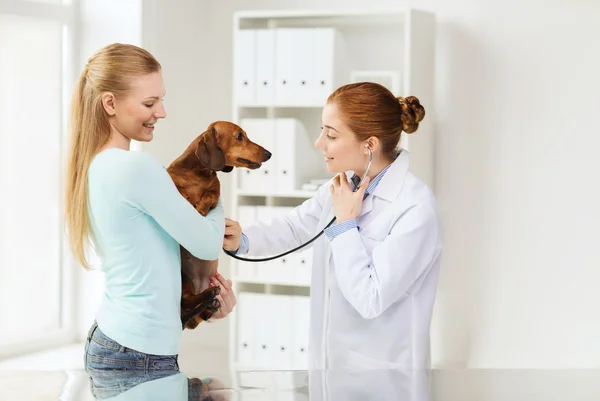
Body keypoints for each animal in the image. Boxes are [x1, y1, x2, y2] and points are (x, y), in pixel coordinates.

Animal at [165, 121, 270, 328]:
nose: (268, 154)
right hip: (183, 277)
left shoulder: (215, 193)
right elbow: (180, 190)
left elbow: (209, 195)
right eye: (239, 136)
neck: (198, 174)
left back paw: (211, 302)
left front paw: (200, 209)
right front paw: (188, 200)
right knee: (187, 300)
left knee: (194, 305)